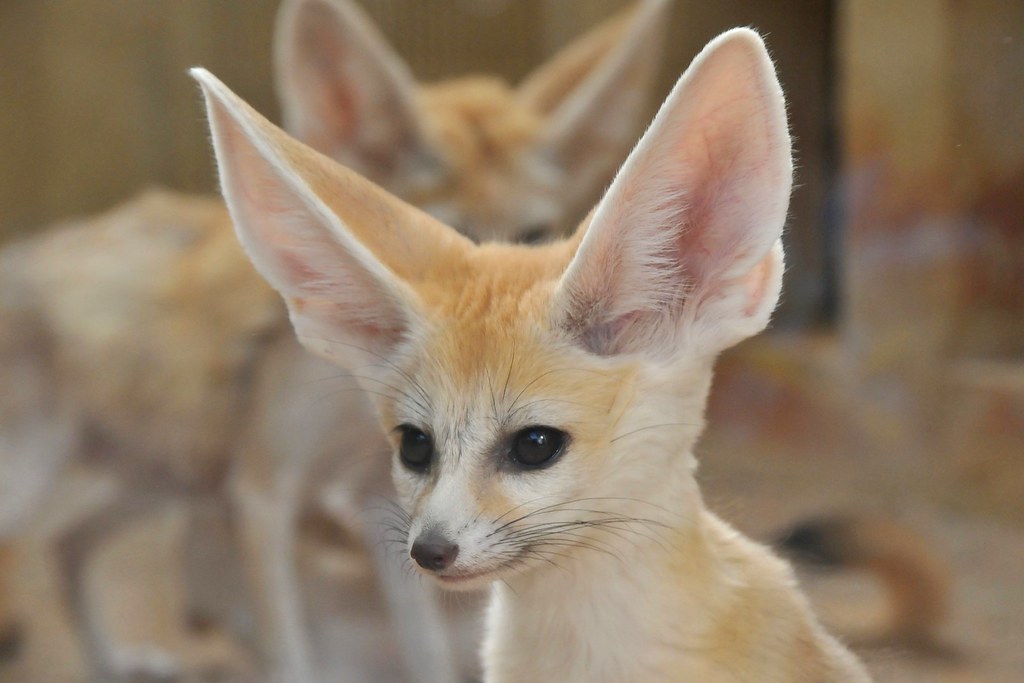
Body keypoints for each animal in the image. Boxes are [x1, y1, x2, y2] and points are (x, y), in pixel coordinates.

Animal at [0, 1, 671, 679]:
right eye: (444, 240)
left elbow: (425, 646)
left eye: (532, 236)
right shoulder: (262, 494)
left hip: (155, 480)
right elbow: (290, 653)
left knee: (67, 546)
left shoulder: (393, 499)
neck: (350, 402)